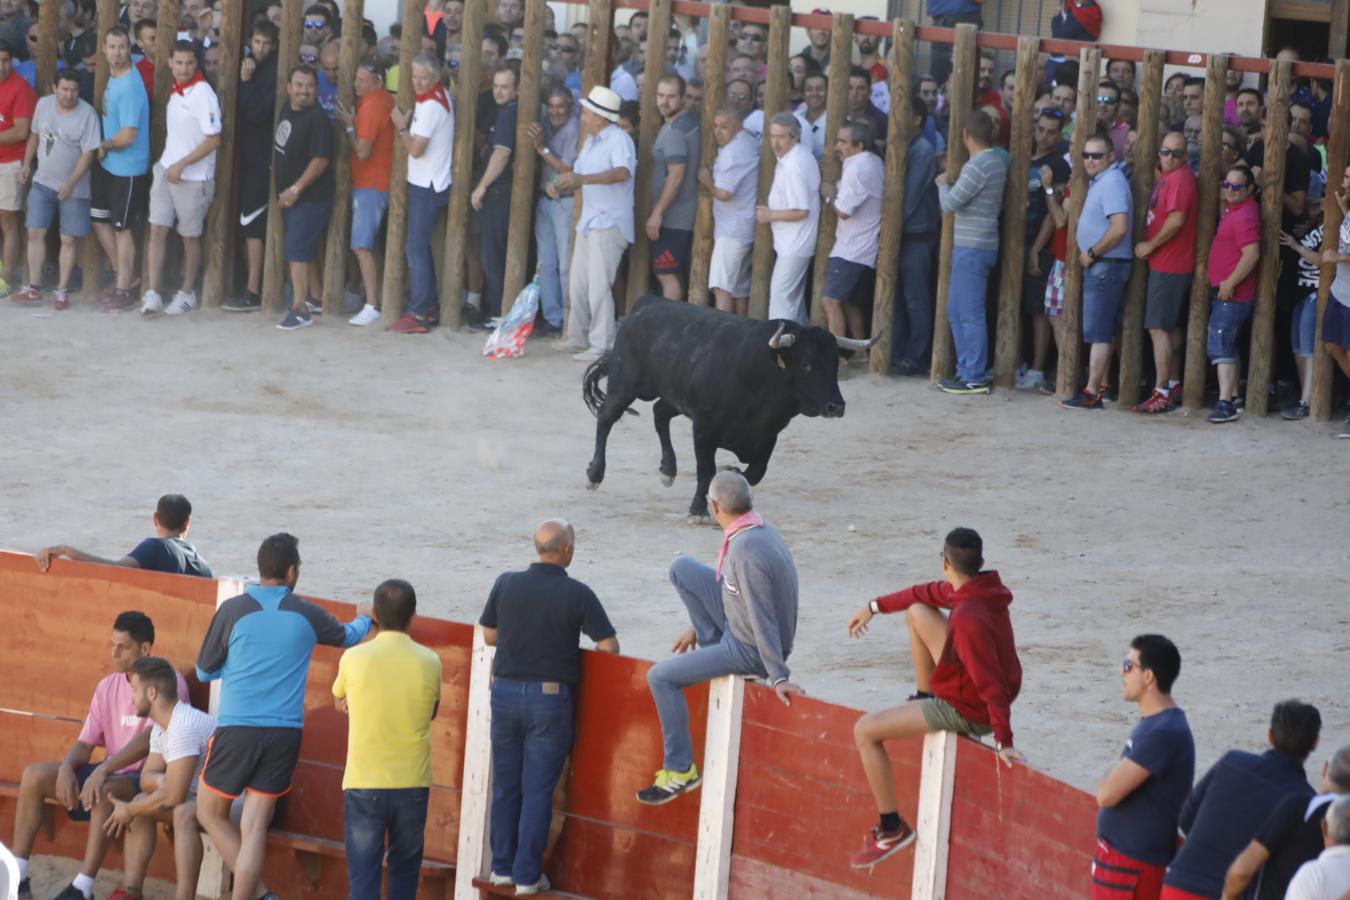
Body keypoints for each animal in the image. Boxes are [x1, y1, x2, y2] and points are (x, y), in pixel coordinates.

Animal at [583, 295, 880, 520]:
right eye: (807, 364)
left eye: (835, 365)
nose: (836, 406)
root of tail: (646, 302)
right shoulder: (703, 429)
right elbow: (705, 471)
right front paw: (698, 510)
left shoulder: (768, 435)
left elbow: (756, 472)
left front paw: (732, 473)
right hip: (627, 384)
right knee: (606, 417)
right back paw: (594, 475)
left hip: (673, 395)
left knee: (659, 413)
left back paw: (668, 470)